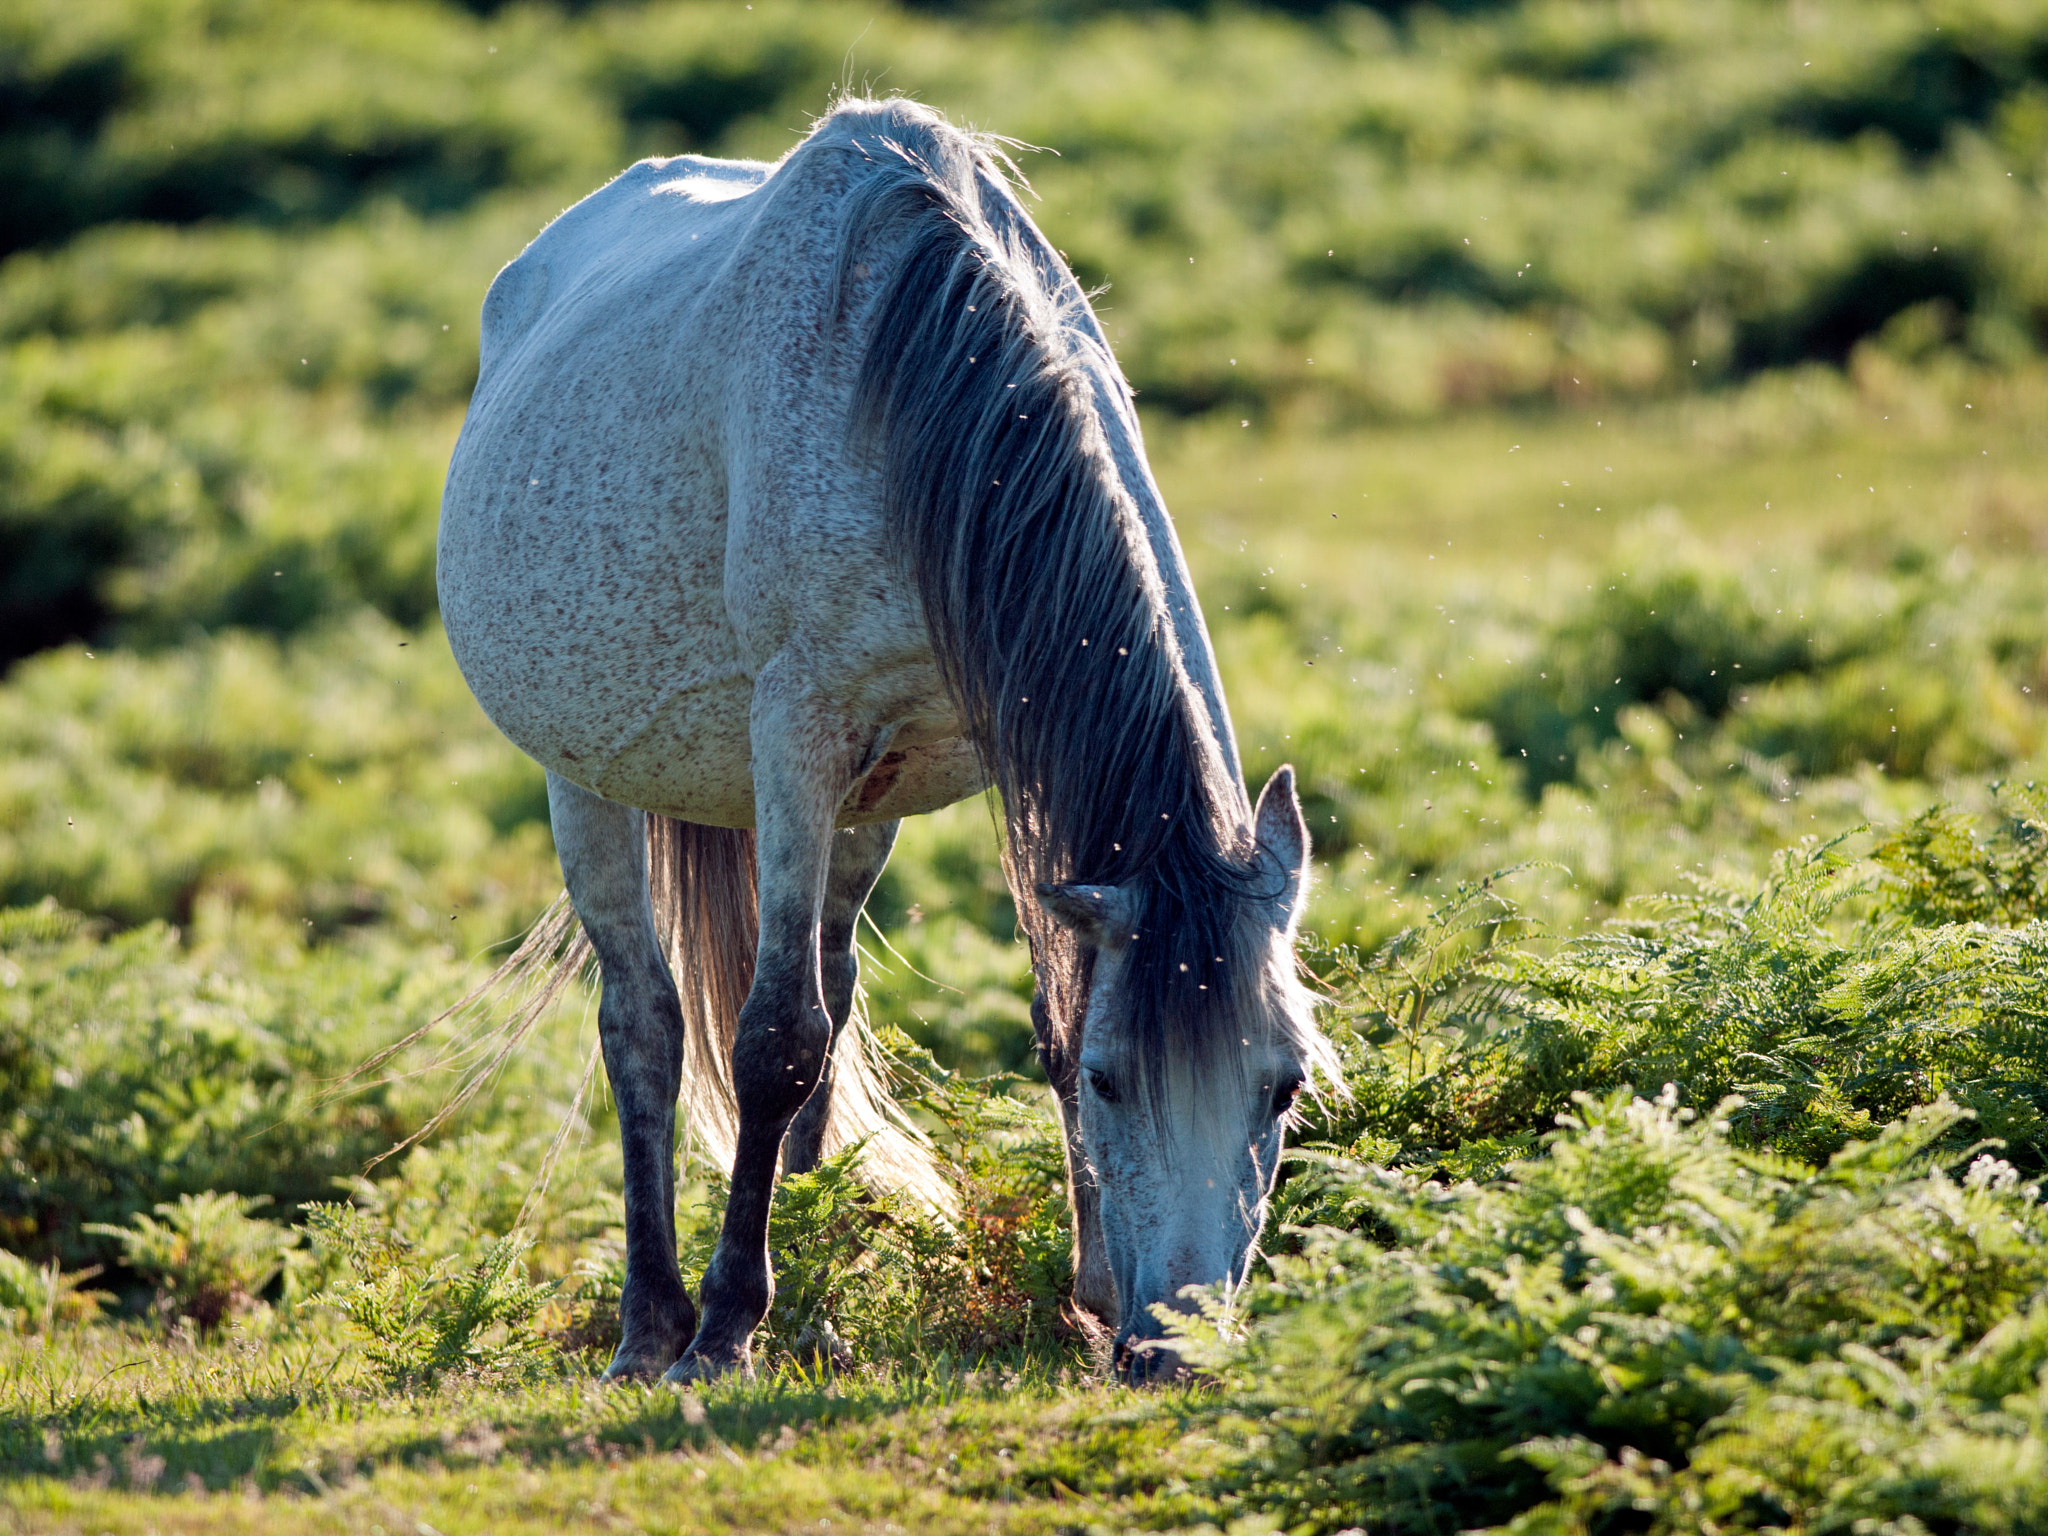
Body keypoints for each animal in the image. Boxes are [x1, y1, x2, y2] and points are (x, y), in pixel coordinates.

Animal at [436, 102, 1327, 1392]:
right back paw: (653, 1324)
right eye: (1118, 1080)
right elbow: (771, 1041)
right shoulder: (795, 733)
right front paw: (725, 1329)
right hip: (586, 780)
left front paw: (1086, 1291)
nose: (1176, 1351)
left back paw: (820, 1259)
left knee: (830, 977)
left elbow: (1039, 1009)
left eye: (1283, 1085)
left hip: (870, 803)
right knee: (645, 1025)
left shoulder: (1006, 748)